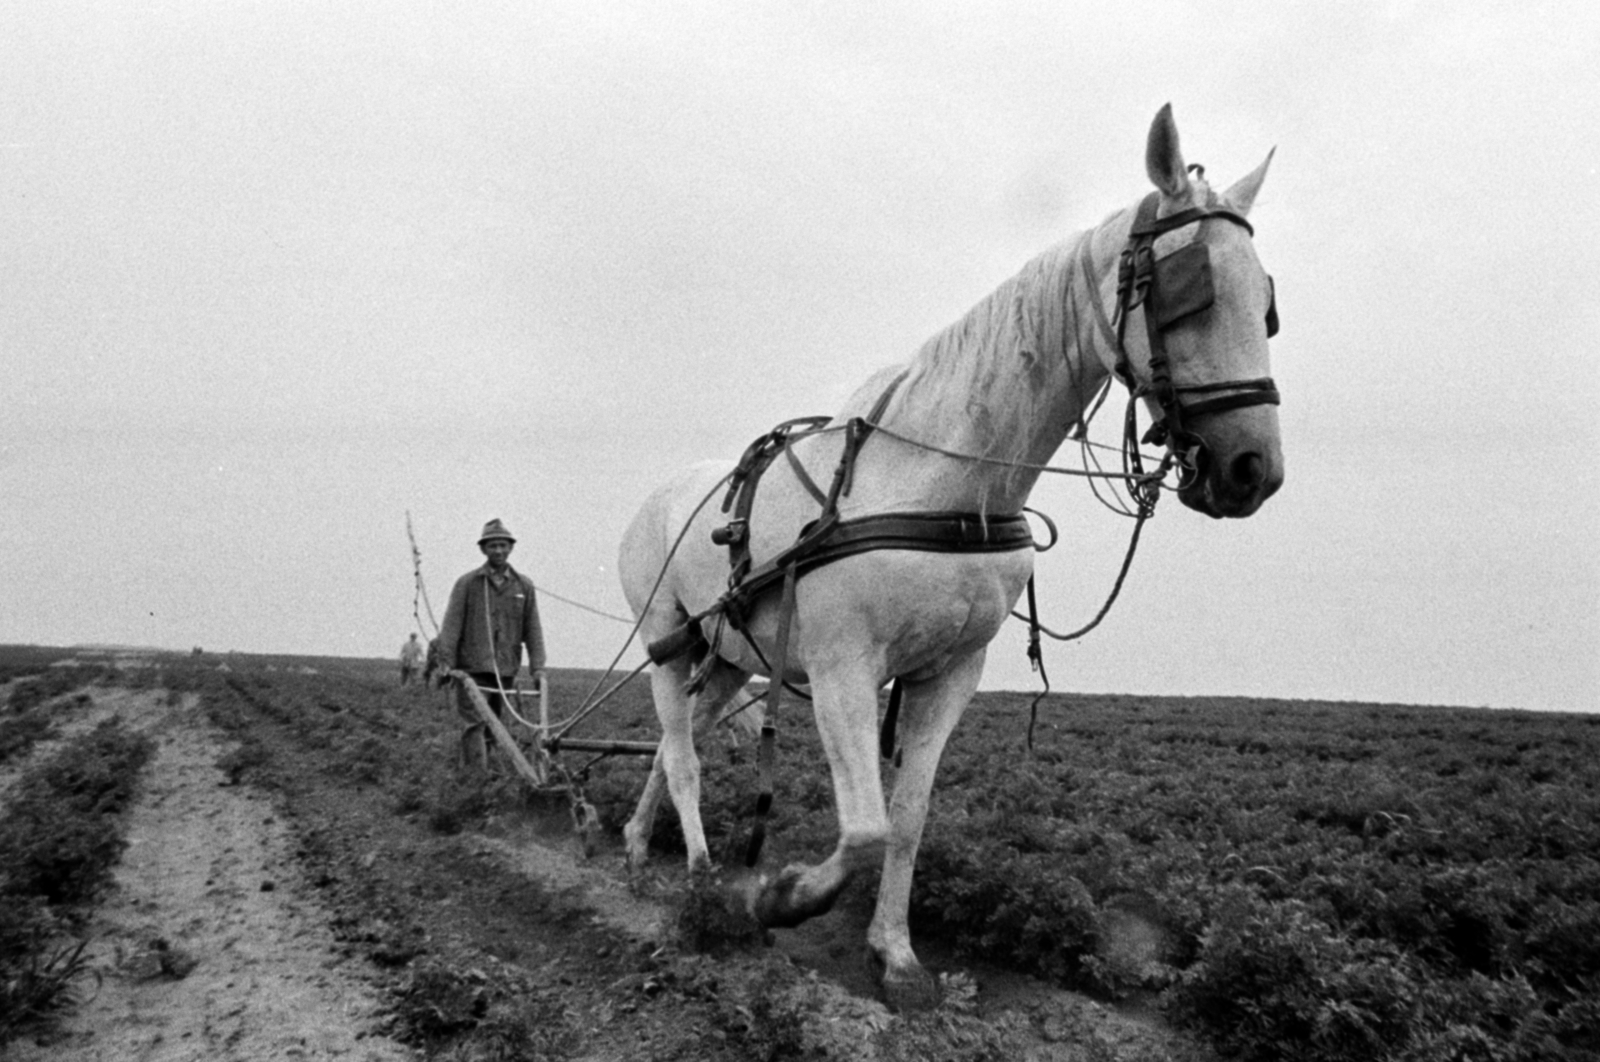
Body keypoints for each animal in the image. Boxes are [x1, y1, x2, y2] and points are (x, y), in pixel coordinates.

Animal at [617, 107, 1280, 1010]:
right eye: (1192, 287)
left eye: (1268, 303)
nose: (1254, 469)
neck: (946, 482)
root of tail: (656, 497)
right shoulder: (843, 665)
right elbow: (862, 825)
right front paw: (780, 894)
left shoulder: (951, 671)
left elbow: (907, 818)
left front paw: (896, 956)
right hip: (664, 638)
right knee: (683, 758)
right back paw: (700, 878)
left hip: (723, 655)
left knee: (670, 743)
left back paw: (638, 845)